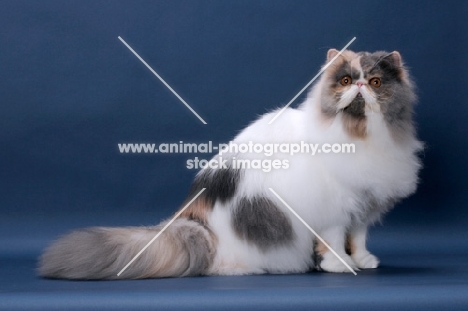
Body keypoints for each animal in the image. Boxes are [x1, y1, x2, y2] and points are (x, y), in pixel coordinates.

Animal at [38, 49, 422, 280]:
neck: (361, 135)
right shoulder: (335, 208)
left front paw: (363, 260)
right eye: (344, 81)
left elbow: (358, 237)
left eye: (375, 82)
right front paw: (339, 265)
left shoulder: (365, 204)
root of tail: (197, 225)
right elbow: (334, 240)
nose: (359, 85)